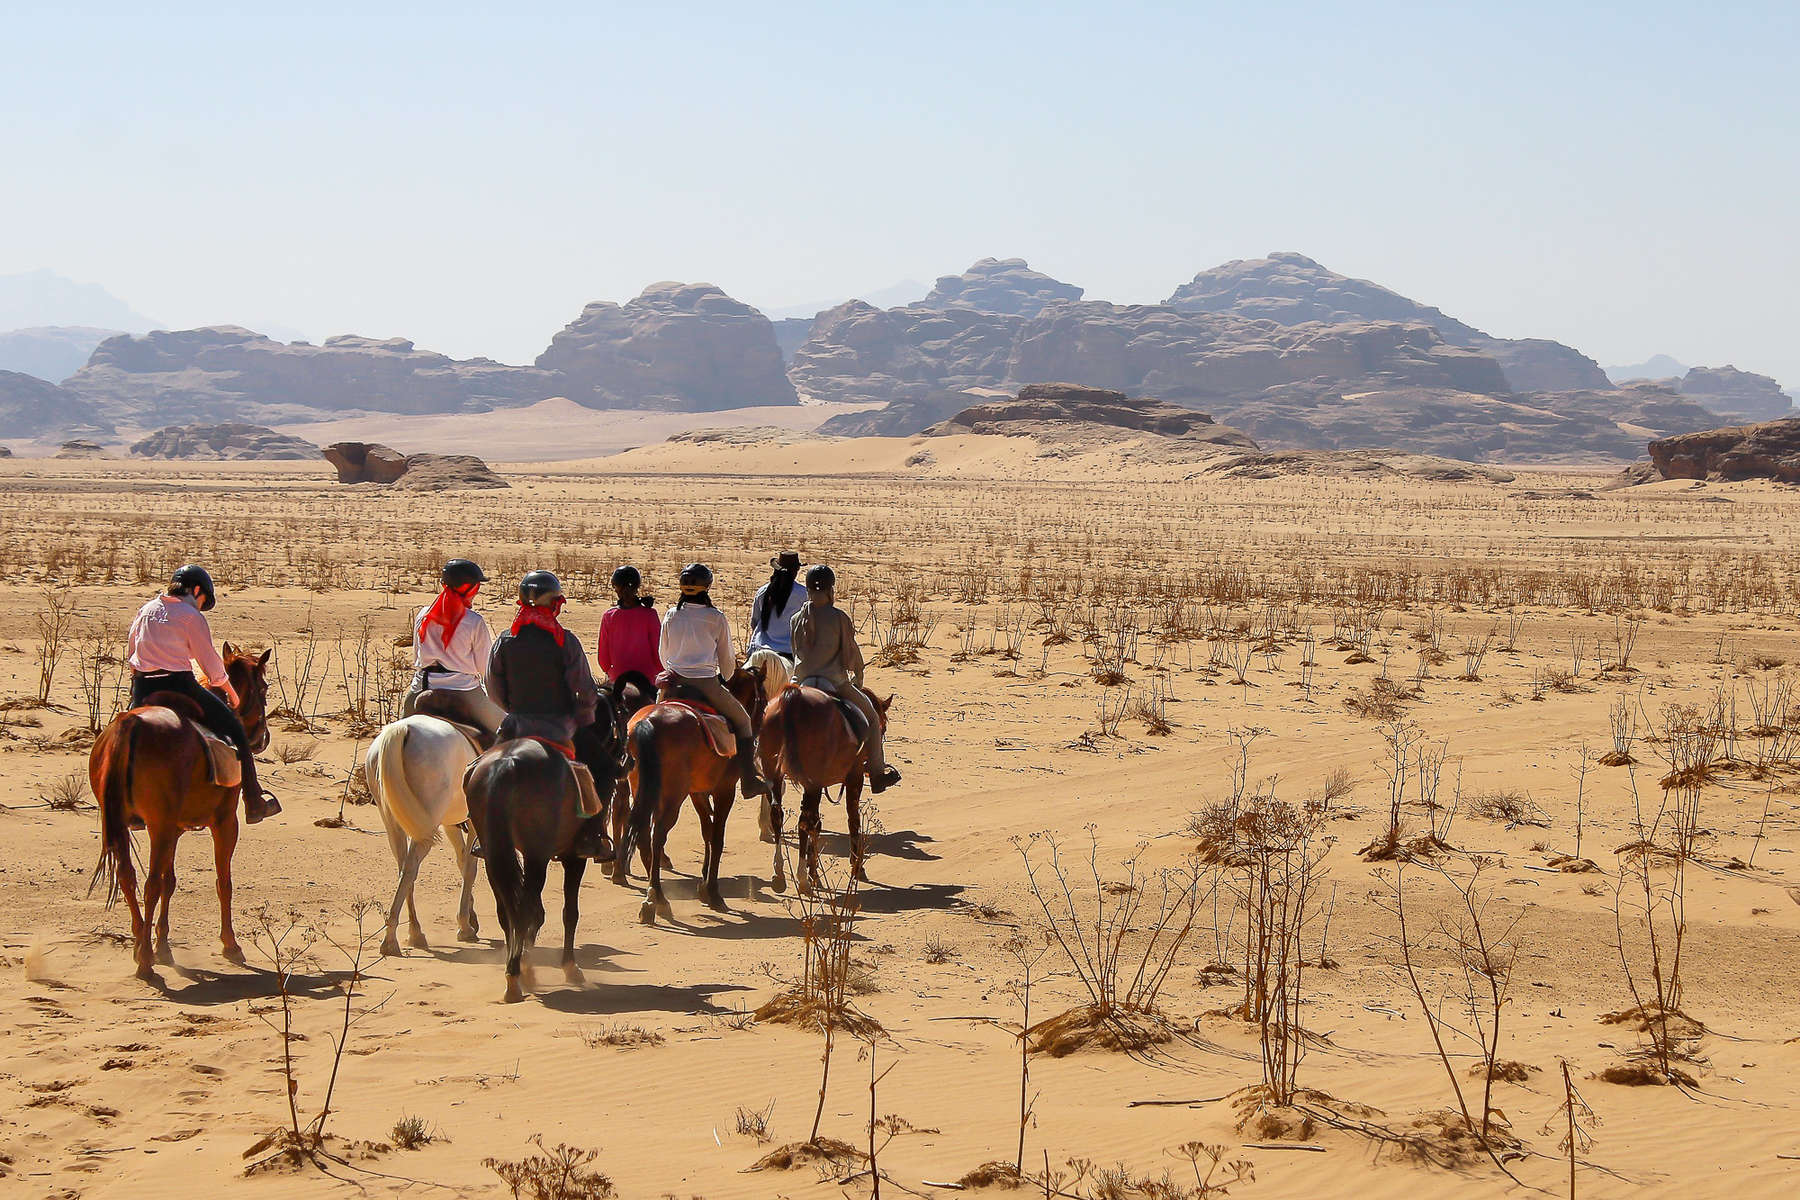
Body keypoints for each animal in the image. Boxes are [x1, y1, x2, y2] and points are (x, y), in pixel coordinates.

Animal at [88, 647, 270, 978]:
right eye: (263, 689)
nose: (262, 738)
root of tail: (130, 726)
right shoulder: (225, 822)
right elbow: (223, 882)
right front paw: (230, 945)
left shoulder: (173, 828)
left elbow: (170, 882)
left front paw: (163, 945)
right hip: (160, 826)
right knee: (149, 884)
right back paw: (144, 960)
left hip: (124, 824)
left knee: (128, 877)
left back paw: (141, 944)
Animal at [365, 712, 482, 957]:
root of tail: (402, 729)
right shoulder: (473, 822)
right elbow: (469, 868)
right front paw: (465, 925)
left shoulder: (450, 824)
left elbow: (462, 861)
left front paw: (470, 917)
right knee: (410, 869)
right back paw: (391, 939)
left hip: (395, 823)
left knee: (404, 868)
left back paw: (414, 932)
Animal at [464, 705, 626, 1007]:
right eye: (620, 713)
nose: (626, 758)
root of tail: (506, 764)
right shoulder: (574, 858)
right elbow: (569, 913)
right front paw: (570, 968)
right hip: (535, 855)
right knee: (525, 909)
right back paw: (520, 975)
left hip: (495, 854)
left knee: (508, 911)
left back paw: (515, 973)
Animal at [612, 651, 788, 928]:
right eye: (761, 698)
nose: (763, 725)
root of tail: (648, 723)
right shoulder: (724, 790)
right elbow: (717, 836)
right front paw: (714, 892)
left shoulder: (697, 792)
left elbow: (707, 831)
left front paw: (705, 885)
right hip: (672, 795)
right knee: (657, 834)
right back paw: (656, 899)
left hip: (643, 787)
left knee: (641, 832)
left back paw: (651, 893)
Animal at [759, 680, 892, 895]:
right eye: (883, 727)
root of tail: (793, 699)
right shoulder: (853, 778)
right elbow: (852, 818)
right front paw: (856, 867)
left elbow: (818, 824)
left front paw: (814, 871)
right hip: (813, 780)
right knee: (805, 821)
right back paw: (802, 880)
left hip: (774, 772)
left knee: (778, 815)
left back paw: (779, 874)